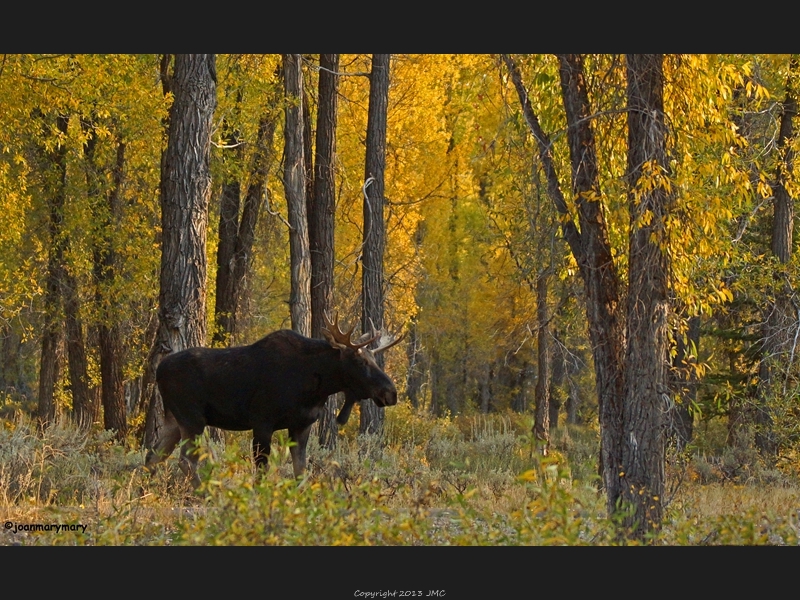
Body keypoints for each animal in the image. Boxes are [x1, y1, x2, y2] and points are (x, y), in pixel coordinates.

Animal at [144, 314, 404, 488]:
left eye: (374, 359)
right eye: (360, 362)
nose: (391, 393)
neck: (315, 388)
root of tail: (159, 371)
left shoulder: (302, 424)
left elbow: (300, 470)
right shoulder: (262, 421)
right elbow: (261, 469)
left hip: (174, 419)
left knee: (154, 456)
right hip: (192, 418)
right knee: (185, 461)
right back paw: (207, 493)